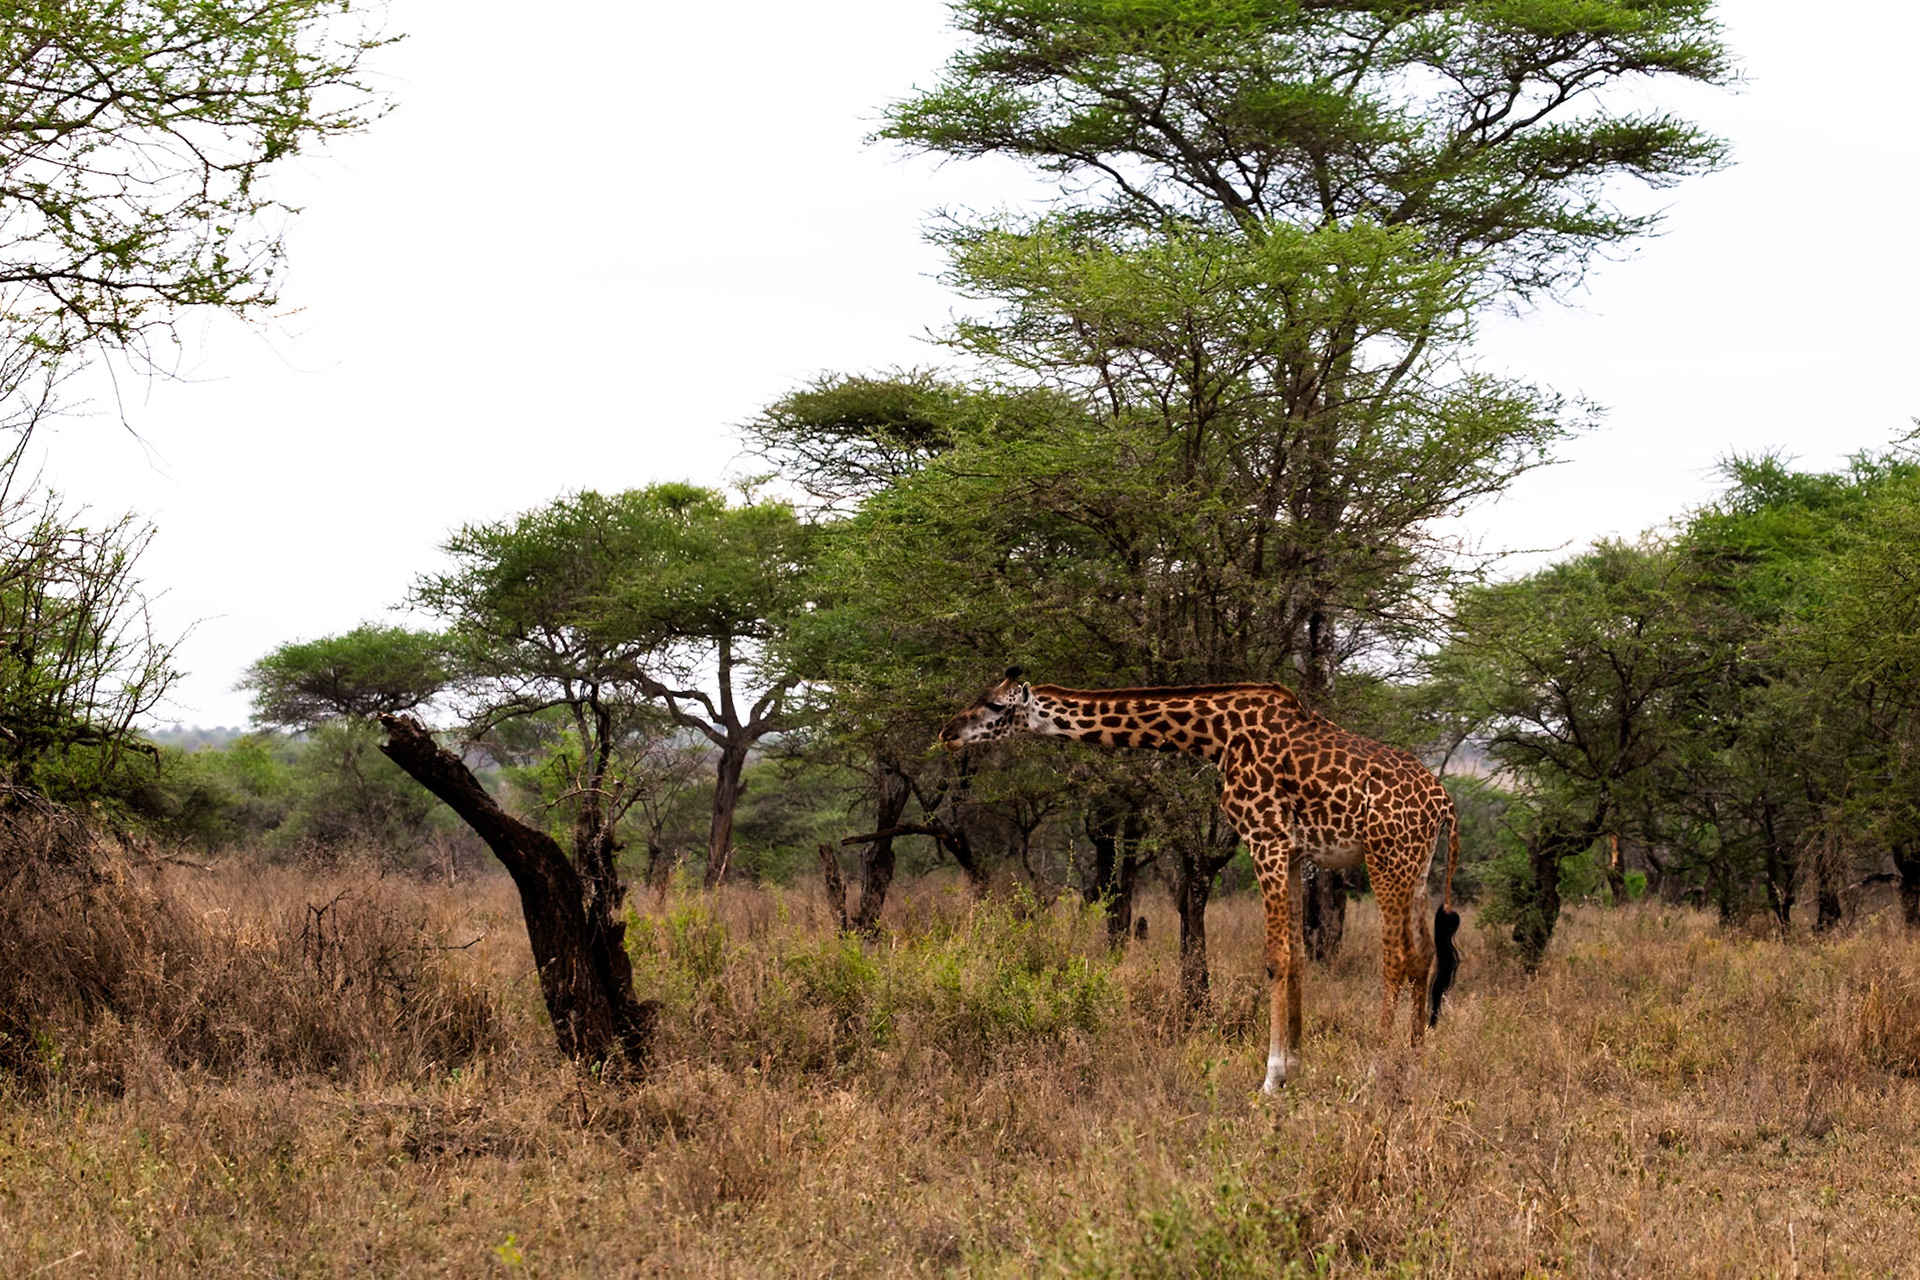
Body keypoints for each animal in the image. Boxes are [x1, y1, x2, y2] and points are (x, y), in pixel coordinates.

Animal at [939, 667, 1461, 1093]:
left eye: (994, 705)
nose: (948, 732)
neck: (1216, 736)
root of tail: (1444, 802)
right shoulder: (1293, 852)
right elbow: (1297, 957)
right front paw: (1296, 1067)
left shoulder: (1264, 838)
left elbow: (1276, 957)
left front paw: (1271, 1078)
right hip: (1416, 866)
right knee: (1423, 956)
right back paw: (1413, 1063)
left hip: (1386, 857)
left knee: (1396, 958)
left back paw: (1377, 1068)